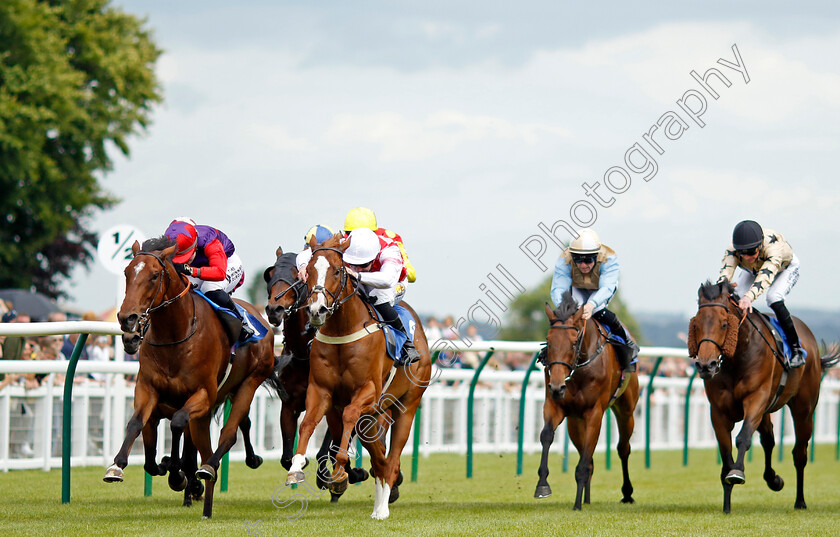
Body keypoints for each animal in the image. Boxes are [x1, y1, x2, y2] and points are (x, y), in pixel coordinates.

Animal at [103, 238, 278, 516]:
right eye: (127, 272)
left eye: (154, 275)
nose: (126, 318)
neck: (176, 335)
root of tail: (260, 317)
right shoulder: (147, 389)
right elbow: (136, 425)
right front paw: (118, 466)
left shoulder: (203, 395)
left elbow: (177, 424)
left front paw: (178, 475)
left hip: (249, 383)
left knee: (229, 433)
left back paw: (210, 469)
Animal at [262, 245, 368, 500]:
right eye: (270, 274)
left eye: (296, 276)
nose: (274, 309)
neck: (303, 353)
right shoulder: (290, 404)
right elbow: (286, 457)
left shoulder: (332, 399)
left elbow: (330, 447)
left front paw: (342, 475)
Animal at [284, 236, 430, 520]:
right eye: (310, 272)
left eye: (337, 271)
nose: (317, 310)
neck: (342, 330)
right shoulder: (321, 390)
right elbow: (307, 423)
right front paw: (296, 467)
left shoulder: (368, 390)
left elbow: (350, 415)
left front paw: (340, 469)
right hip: (370, 417)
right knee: (380, 460)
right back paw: (377, 501)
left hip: (406, 406)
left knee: (391, 460)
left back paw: (382, 509)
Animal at [536, 292, 640, 508]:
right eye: (548, 340)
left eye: (574, 342)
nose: (557, 386)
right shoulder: (555, 405)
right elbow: (547, 435)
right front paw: (542, 485)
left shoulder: (594, 413)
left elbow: (584, 462)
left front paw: (576, 505)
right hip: (575, 422)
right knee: (588, 456)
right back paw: (587, 498)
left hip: (626, 411)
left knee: (623, 448)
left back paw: (627, 493)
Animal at [688, 278, 840, 512]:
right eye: (696, 324)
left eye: (724, 324)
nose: (706, 366)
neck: (738, 358)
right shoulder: (719, 412)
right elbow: (726, 452)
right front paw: (727, 504)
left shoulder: (755, 400)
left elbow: (743, 438)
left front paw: (737, 473)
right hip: (768, 411)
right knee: (769, 440)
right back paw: (773, 479)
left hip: (804, 410)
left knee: (800, 453)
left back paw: (800, 501)